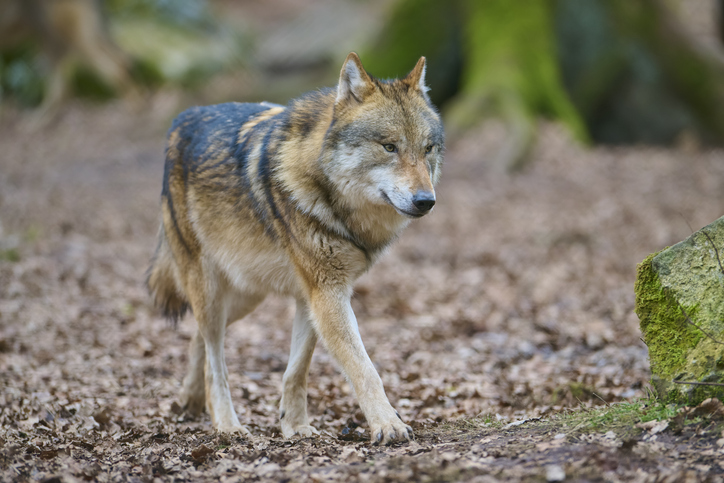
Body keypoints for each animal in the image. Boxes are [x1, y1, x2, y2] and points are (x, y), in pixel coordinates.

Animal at [147, 52, 444, 445]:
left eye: (428, 149)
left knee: (198, 337)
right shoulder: (327, 293)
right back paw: (226, 423)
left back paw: (191, 399)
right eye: (389, 146)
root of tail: (182, 119)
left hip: (245, 295)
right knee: (215, 357)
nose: (426, 201)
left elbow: (297, 370)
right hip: (211, 291)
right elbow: (364, 368)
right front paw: (387, 424)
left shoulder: (313, 295)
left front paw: (294, 426)